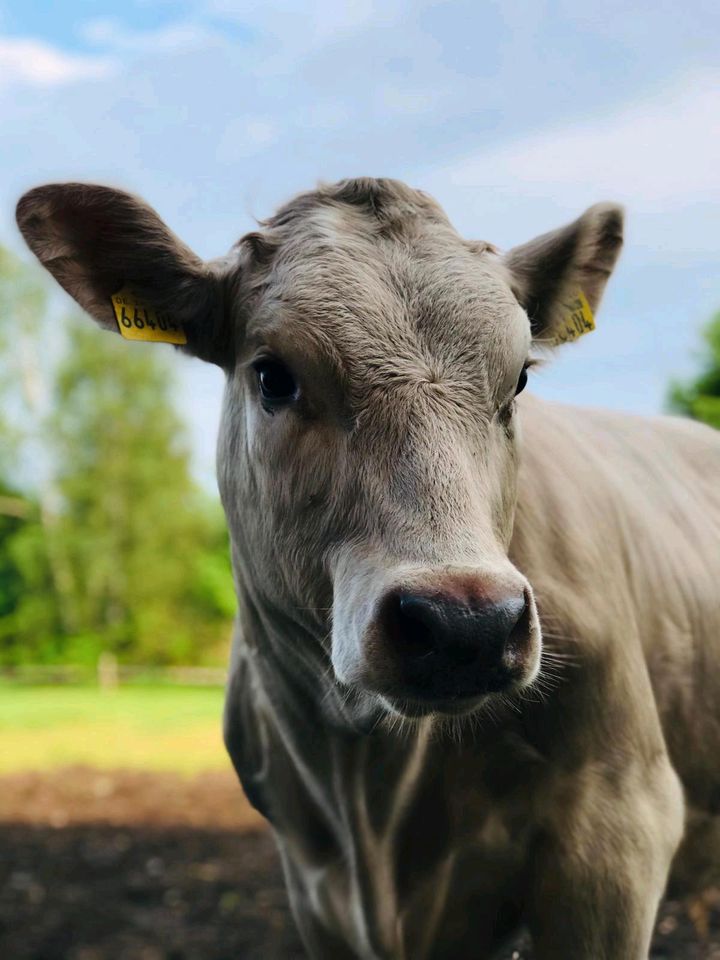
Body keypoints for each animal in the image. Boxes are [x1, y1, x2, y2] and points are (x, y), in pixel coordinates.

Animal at [16, 176, 720, 956]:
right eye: (273, 376)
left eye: (518, 382)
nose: (466, 623)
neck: (365, 787)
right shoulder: (313, 882)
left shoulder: (616, 834)